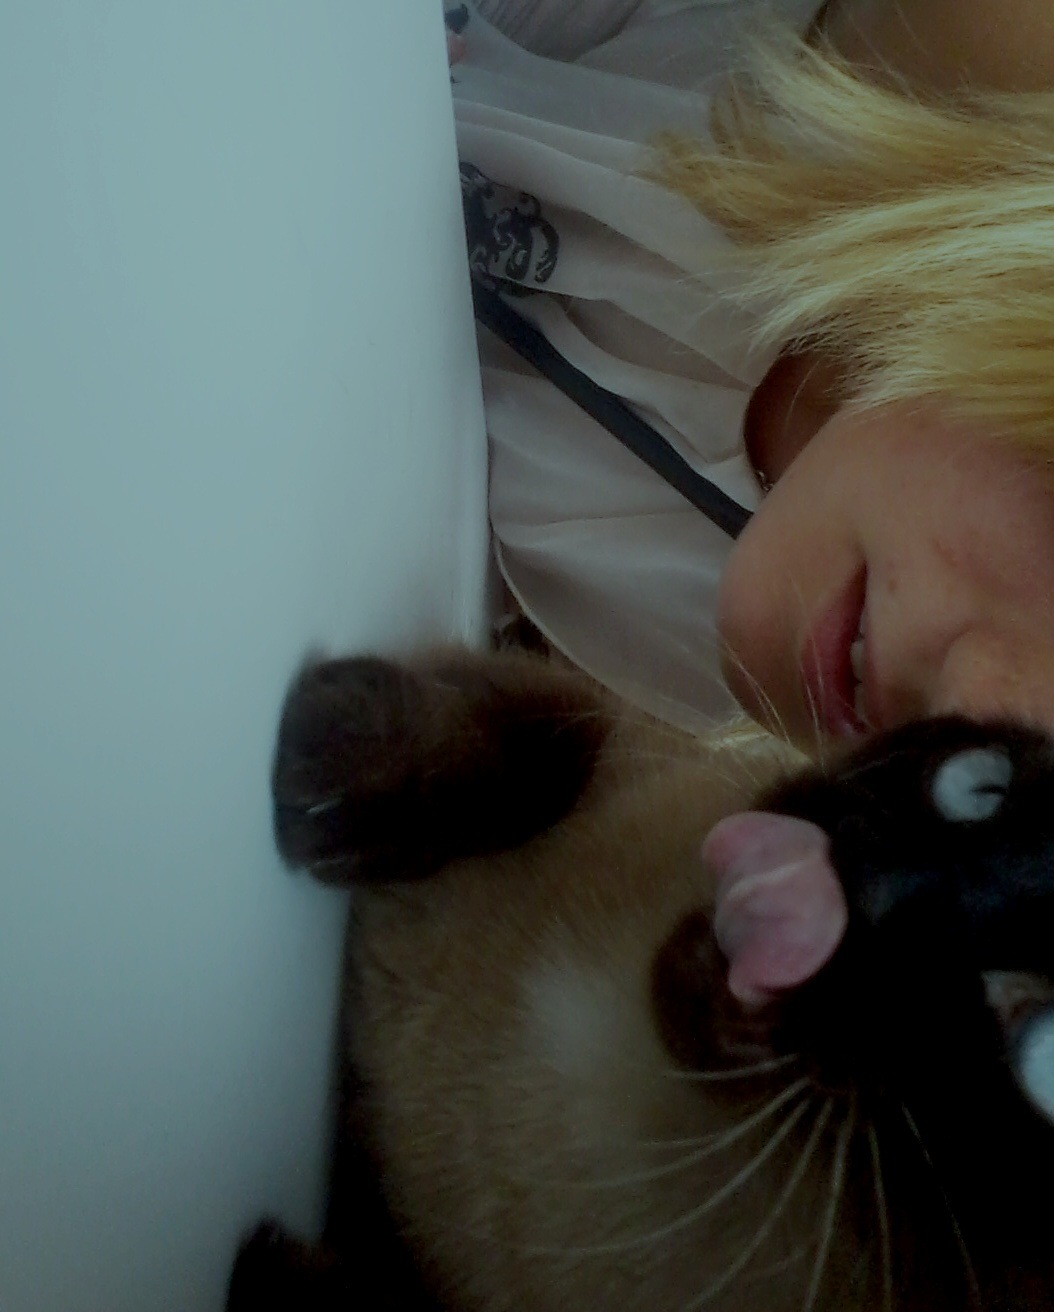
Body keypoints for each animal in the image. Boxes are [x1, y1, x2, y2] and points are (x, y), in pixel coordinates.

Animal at [228, 645, 1054, 1312]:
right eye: (981, 789)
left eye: (1043, 1054)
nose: (866, 883)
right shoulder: (617, 721)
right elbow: (537, 740)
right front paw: (333, 762)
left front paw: (258, 1269)